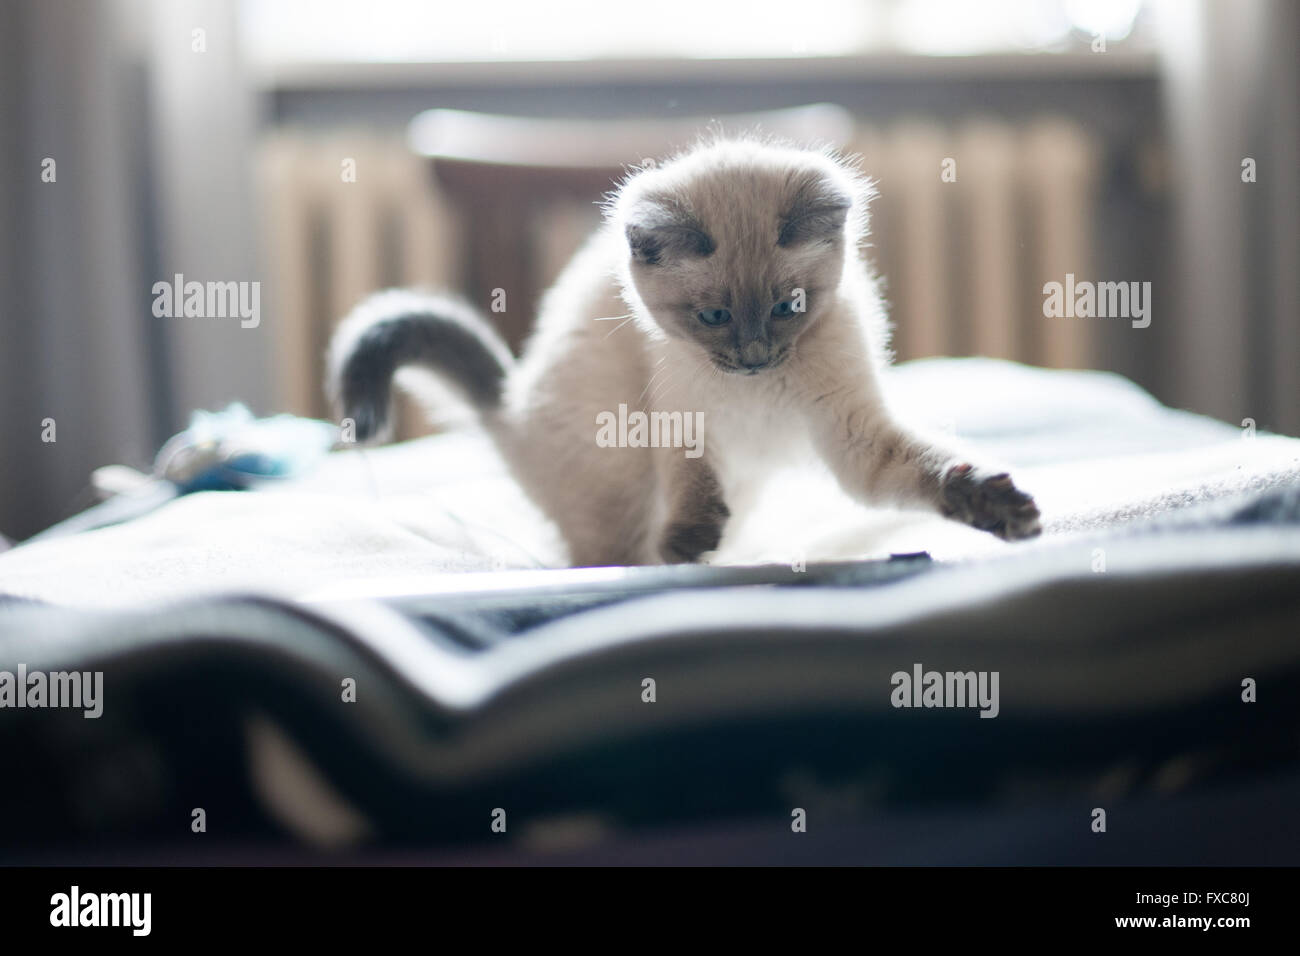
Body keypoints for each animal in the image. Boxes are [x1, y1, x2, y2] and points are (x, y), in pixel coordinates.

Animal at [330, 138, 1040, 564]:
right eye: (715, 317)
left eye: (788, 308)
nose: (754, 356)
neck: (757, 394)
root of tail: (510, 409)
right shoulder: (678, 416)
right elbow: (693, 479)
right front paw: (690, 543)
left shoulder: (853, 435)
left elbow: (931, 470)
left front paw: (1001, 509)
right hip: (618, 475)